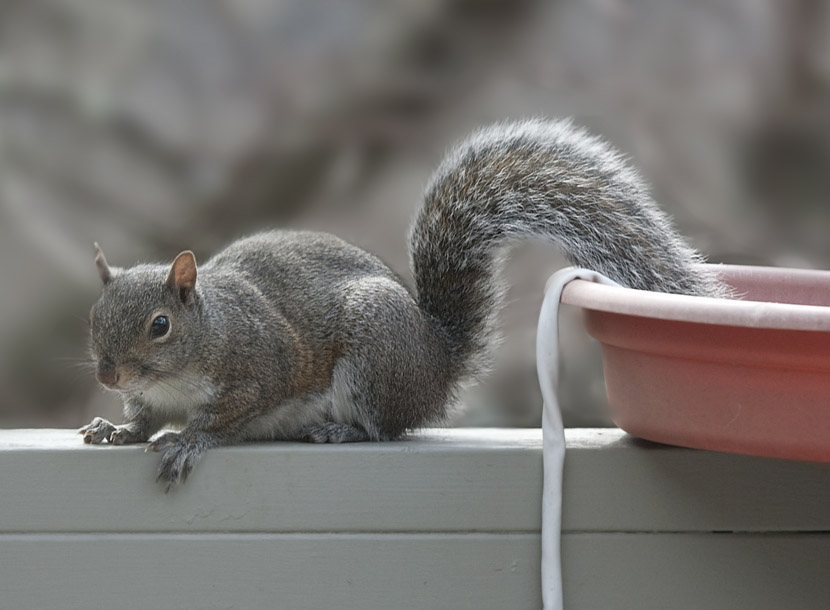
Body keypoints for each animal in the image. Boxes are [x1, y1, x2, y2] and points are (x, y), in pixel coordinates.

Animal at [78, 119, 728, 490]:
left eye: (160, 325)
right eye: (93, 319)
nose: (108, 376)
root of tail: (437, 363)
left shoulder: (261, 365)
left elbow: (227, 417)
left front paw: (188, 442)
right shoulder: (152, 396)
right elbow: (143, 420)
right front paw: (118, 429)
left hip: (373, 350)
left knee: (383, 429)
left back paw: (339, 432)